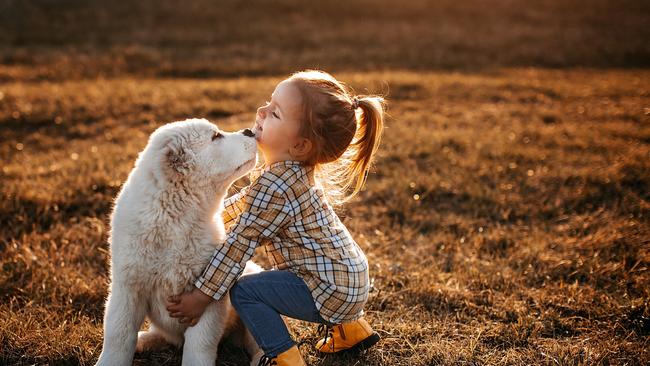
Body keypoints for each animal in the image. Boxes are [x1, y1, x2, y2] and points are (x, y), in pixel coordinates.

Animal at [95, 119, 262, 366]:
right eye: (215, 137)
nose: (250, 131)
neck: (175, 217)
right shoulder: (128, 286)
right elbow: (119, 333)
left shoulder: (204, 298)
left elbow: (200, 344)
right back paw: (144, 340)